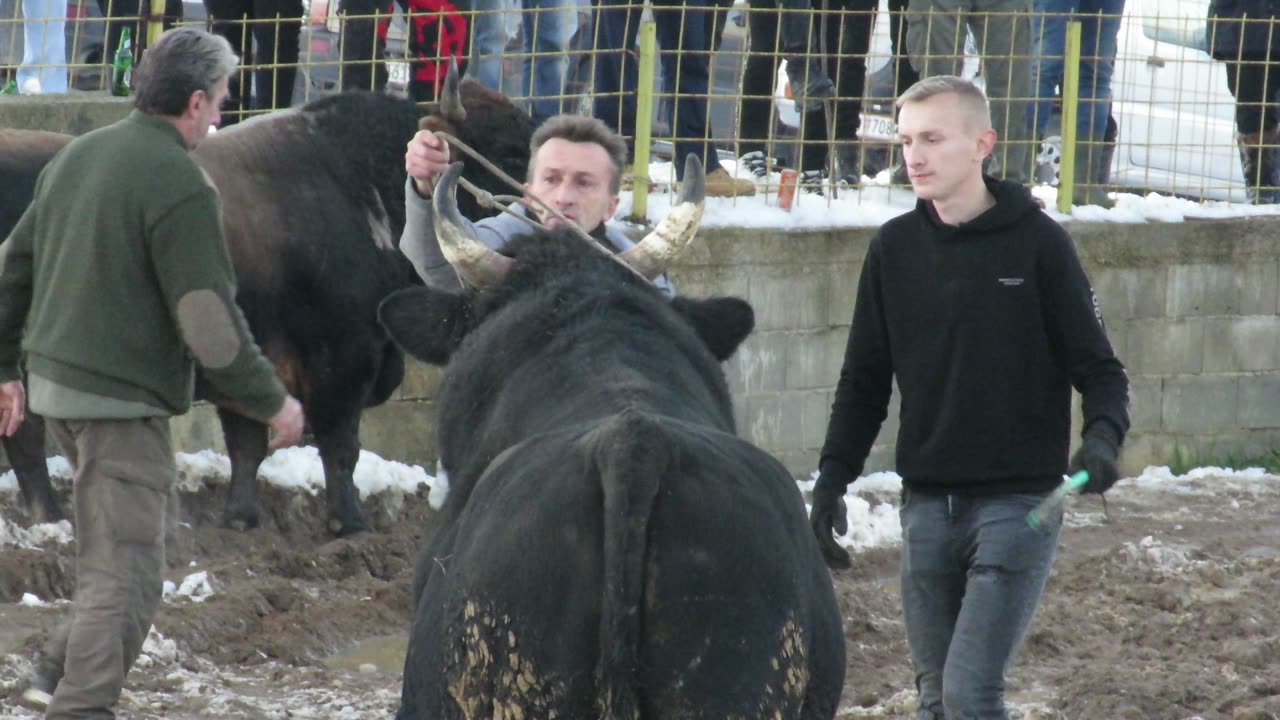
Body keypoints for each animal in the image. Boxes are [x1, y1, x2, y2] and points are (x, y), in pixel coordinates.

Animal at [0, 83, 537, 532]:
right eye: (510, 150)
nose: (535, 208)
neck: (357, 185)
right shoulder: (342, 360)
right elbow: (339, 445)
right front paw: (349, 523)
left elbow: (246, 444)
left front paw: (240, 516)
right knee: (27, 435)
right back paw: (53, 517)